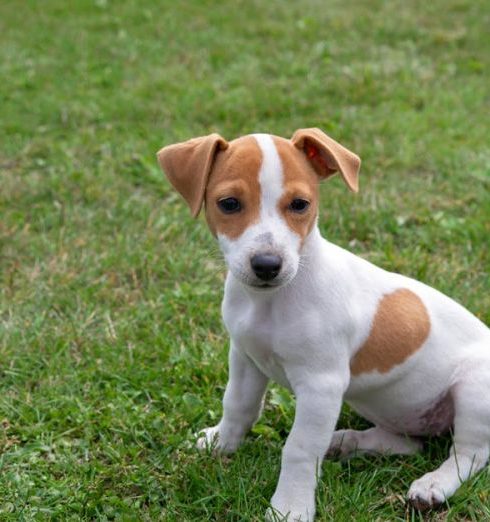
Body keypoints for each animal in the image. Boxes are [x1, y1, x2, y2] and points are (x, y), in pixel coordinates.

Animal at [158, 127, 490, 520]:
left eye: (300, 204)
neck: (271, 301)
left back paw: (433, 485)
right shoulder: (244, 358)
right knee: (409, 444)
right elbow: (237, 405)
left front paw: (289, 508)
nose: (267, 265)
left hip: (474, 391)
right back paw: (345, 441)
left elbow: (299, 449)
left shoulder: (321, 386)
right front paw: (221, 443)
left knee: (469, 454)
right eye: (228, 204)